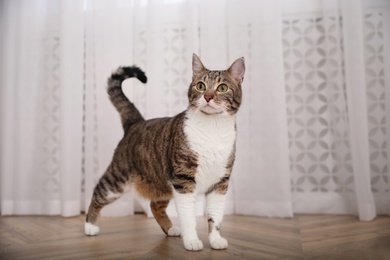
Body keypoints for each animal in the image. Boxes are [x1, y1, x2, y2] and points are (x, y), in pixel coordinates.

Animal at [84, 53, 244, 251]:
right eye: (200, 86)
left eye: (222, 88)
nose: (207, 96)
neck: (212, 128)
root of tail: (136, 122)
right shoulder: (183, 180)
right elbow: (188, 216)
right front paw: (192, 241)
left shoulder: (220, 182)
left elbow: (215, 216)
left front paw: (215, 240)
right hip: (117, 179)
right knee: (99, 191)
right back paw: (90, 225)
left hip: (162, 182)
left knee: (155, 206)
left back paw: (170, 229)